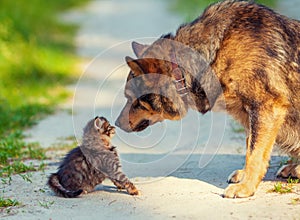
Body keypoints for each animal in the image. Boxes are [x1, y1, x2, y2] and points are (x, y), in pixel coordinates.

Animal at [115, 0, 300, 199]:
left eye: (133, 100)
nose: (116, 124)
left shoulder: (265, 108)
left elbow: (255, 153)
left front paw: (246, 187)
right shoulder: (252, 114)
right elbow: (249, 145)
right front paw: (244, 176)